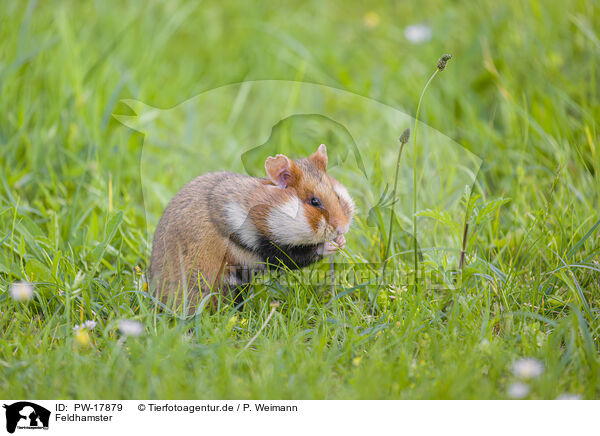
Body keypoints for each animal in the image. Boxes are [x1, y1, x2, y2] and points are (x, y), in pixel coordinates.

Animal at [148, 145, 354, 308]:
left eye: (337, 196)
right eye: (314, 202)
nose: (342, 228)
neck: (266, 211)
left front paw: (342, 241)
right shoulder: (260, 246)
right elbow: (296, 256)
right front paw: (332, 245)